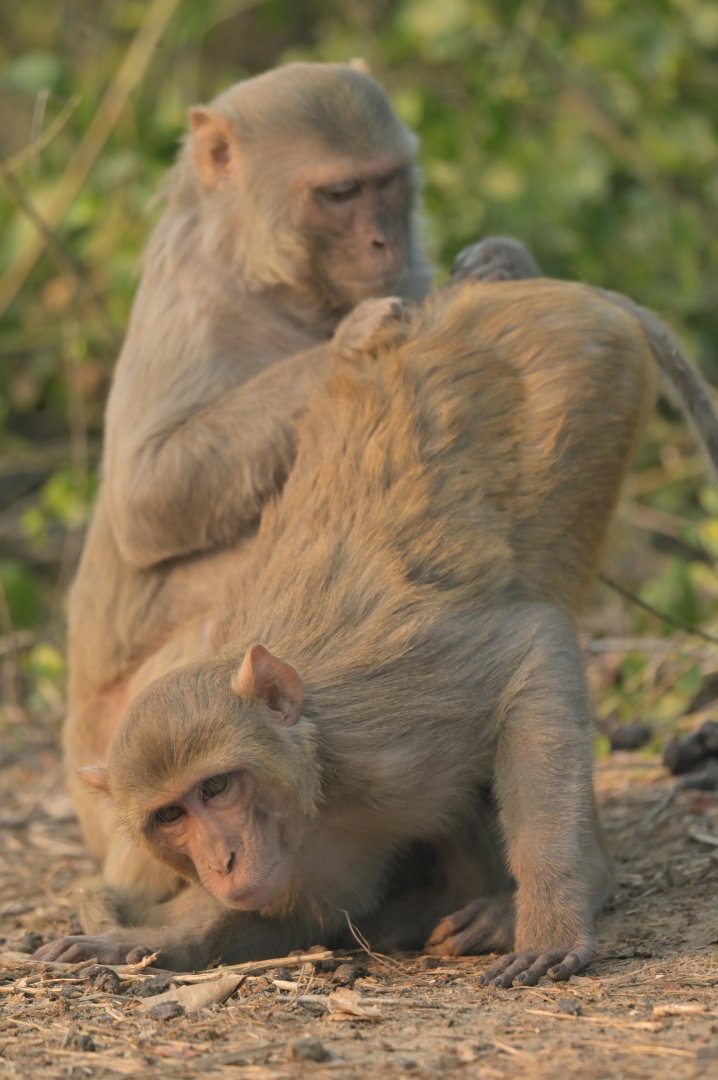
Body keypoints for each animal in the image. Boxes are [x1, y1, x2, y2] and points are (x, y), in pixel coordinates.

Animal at [36, 276, 718, 984]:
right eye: (171, 814)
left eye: (216, 786)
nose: (221, 861)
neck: (319, 784)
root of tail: (544, 290)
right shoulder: (309, 863)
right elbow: (277, 921)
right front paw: (132, 940)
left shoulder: (395, 733)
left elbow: (534, 649)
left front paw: (551, 918)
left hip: (586, 398)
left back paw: (561, 887)